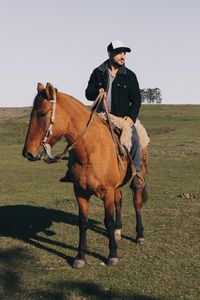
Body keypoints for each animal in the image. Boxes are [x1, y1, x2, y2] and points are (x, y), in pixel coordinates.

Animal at [22, 83, 149, 268]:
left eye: (41, 113)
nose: (27, 153)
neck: (91, 149)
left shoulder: (107, 191)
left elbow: (108, 221)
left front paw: (112, 254)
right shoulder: (80, 192)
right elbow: (83, 223)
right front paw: (80, 256)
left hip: (138, 178)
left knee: (136, 202)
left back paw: (139, 235)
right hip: (116, 187)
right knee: (119, 200)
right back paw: (118, 231)